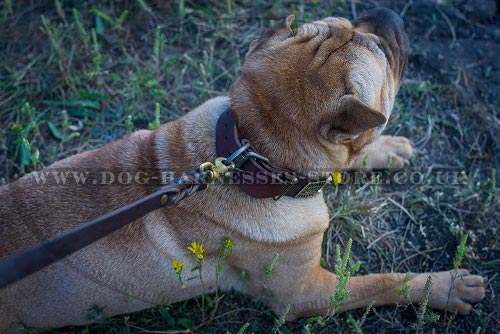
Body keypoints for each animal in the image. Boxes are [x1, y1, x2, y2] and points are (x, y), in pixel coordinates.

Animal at [0, 8, 484, 332]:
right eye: (382, 52)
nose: (383, 11)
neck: (252, 156)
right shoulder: (309, 293)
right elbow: (381, 282)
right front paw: (444, 287)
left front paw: (385, 148)